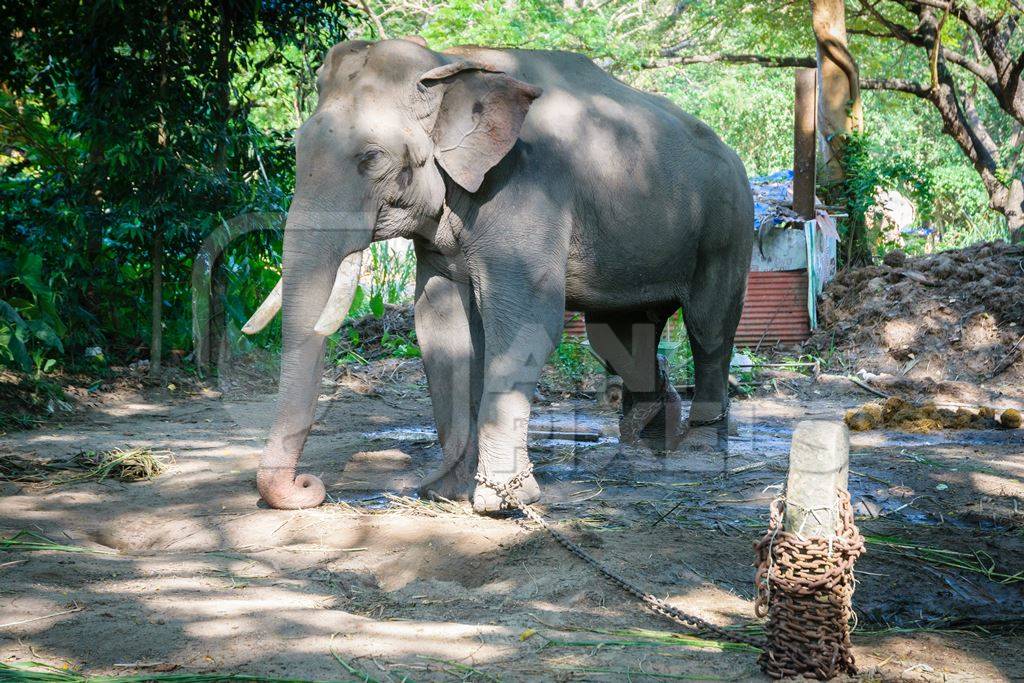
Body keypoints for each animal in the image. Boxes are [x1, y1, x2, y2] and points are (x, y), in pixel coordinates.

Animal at [239, 37, 753, 511]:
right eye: (297, 149)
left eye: (371, 157)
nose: (309, 486)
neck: (449, 62)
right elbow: (440, 325)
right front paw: (451, 492)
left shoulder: (526, 187)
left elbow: (528, 321)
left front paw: (500, 500)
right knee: (618, 337)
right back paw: (647, 435)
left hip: (729, 224)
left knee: (708, 326)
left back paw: (700, 446)